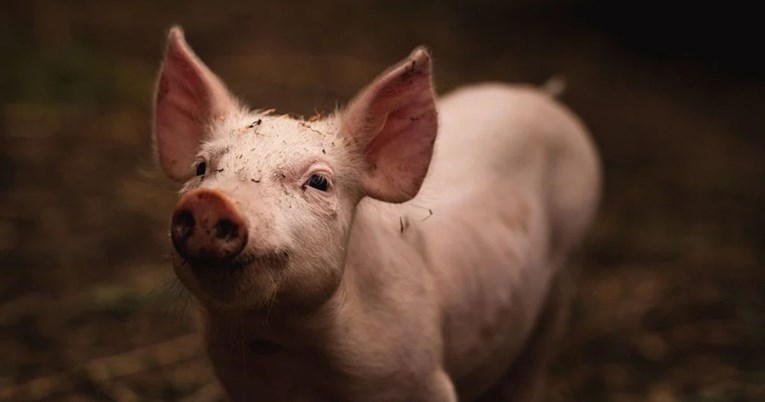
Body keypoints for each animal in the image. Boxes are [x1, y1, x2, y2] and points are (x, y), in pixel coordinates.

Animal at [152, 25, 600, 402]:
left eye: (319, 181)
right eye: (201, 167)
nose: (209, 201)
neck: (289, 340)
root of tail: (542, 96)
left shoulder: (423, 379)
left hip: (568, 264)